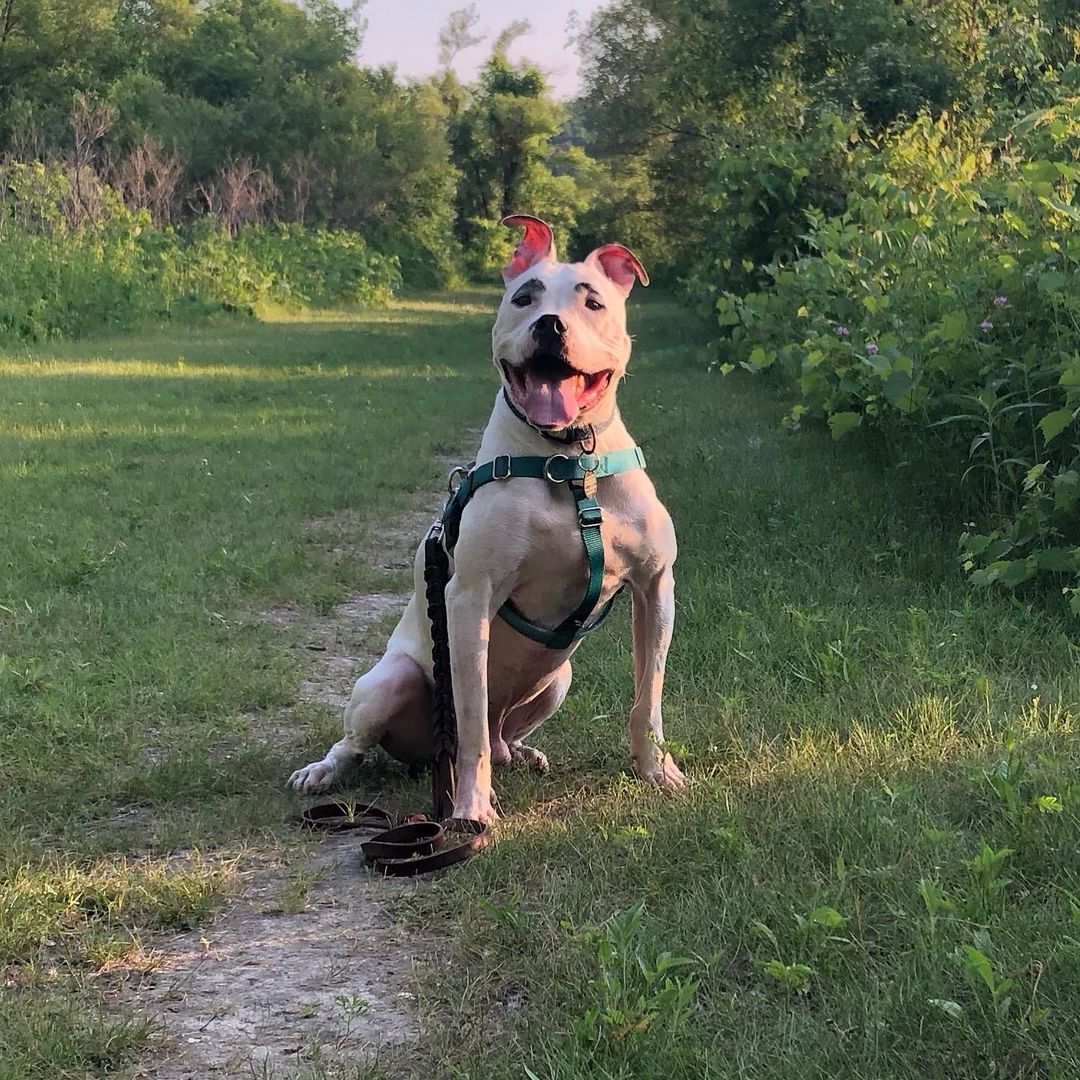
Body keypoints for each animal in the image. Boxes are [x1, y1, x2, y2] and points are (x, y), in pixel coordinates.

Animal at [289, 214, 682, 820]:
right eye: (524, 297)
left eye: (592, 301)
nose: (550, 325)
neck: (569, 463)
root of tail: (419, 757)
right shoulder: (470, 597)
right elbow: (469, 721)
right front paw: (471, 811)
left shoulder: (655, 587)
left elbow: (648, 698)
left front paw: (657, 770)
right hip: (387, 683)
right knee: (373, 740)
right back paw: (325, 771)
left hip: (558, 679)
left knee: (499, 732)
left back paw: (520, 753)